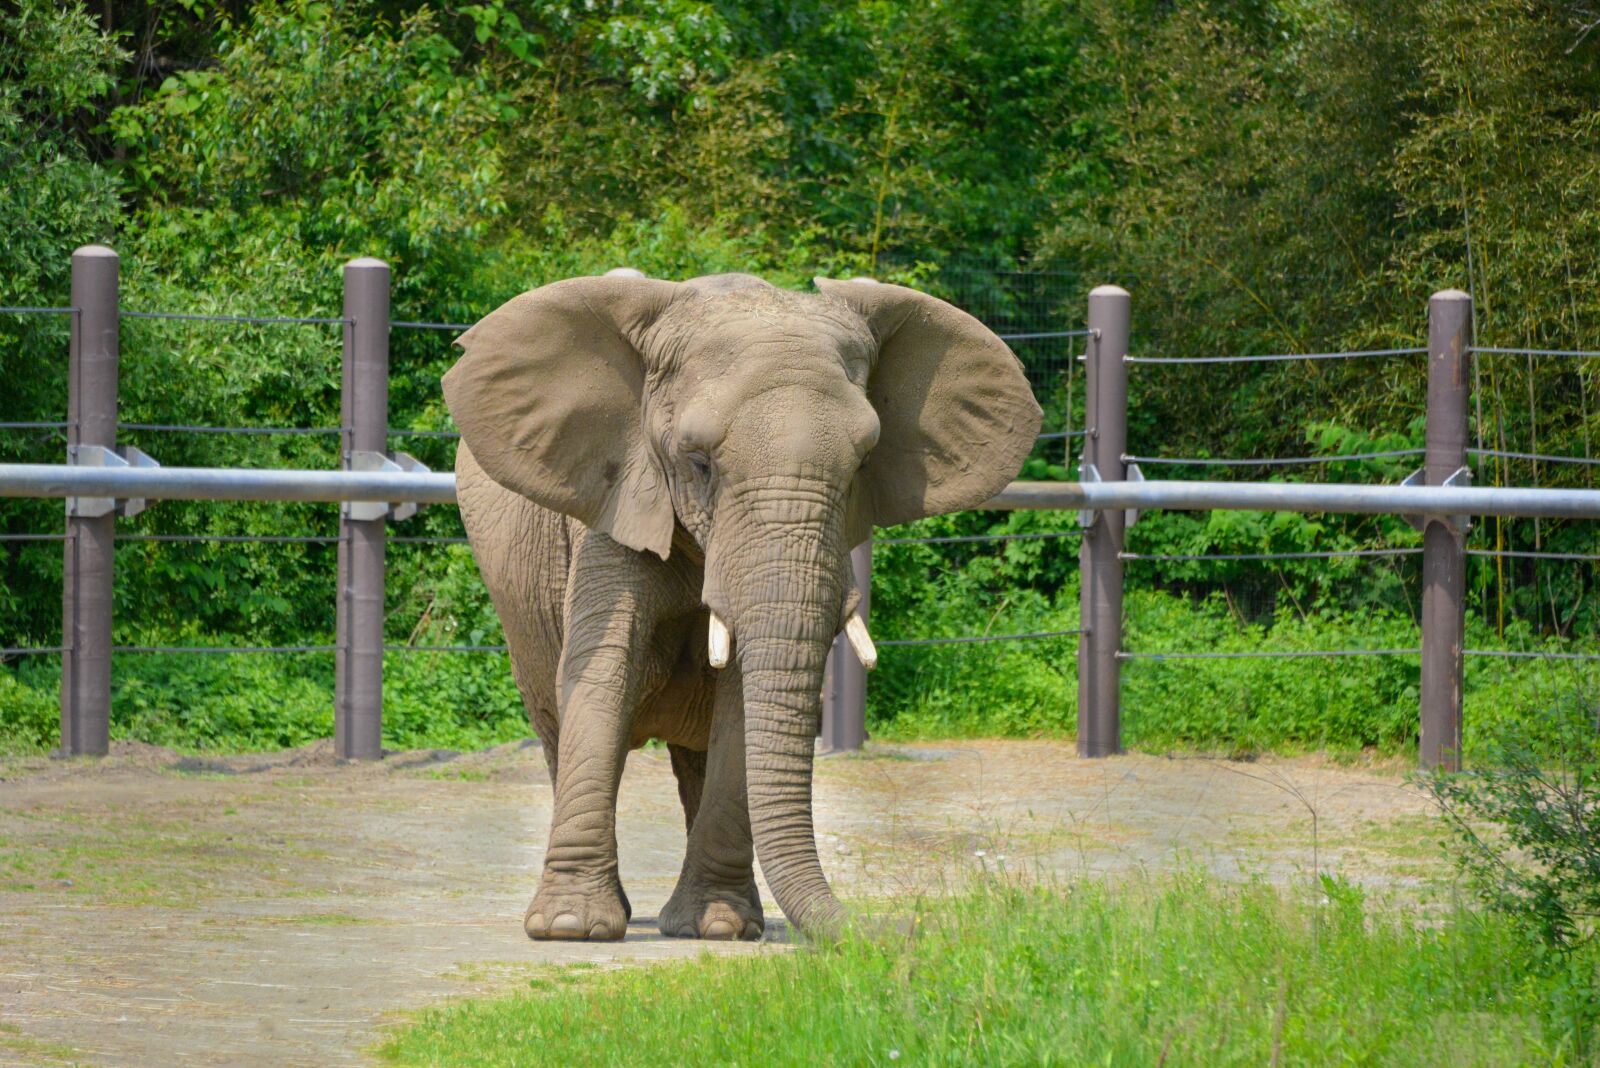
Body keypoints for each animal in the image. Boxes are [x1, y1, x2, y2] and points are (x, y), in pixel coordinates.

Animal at [441, 268, 1036, 940]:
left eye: (862, 465)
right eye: (699, 463)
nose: (905, 930)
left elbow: (741, 705)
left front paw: (718, 929)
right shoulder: (615, 503)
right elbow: (602, 678)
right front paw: (571, 928)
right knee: (556, 727)